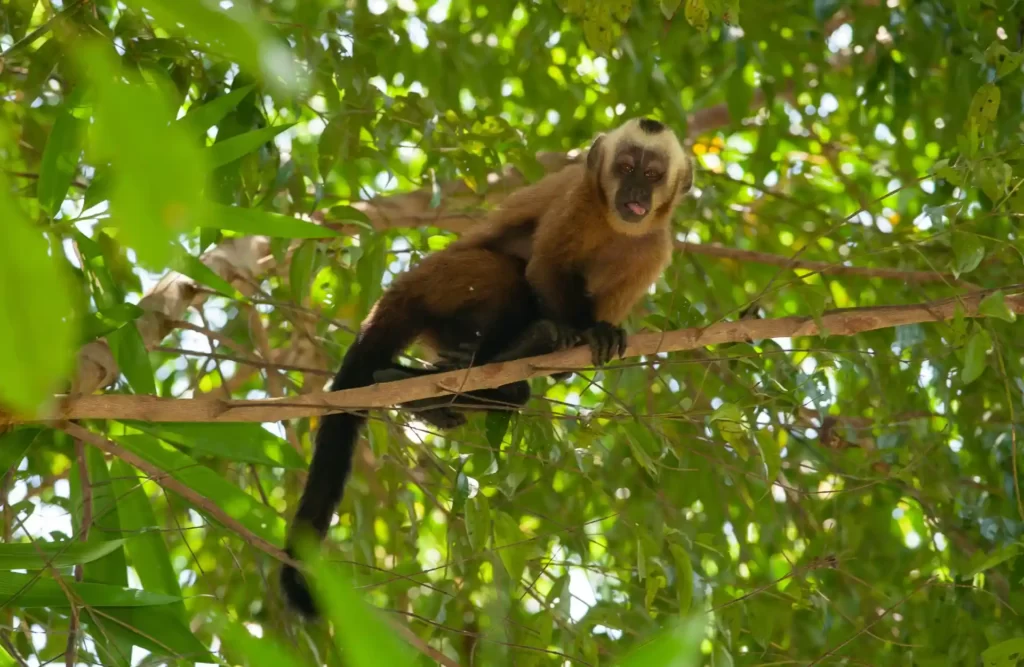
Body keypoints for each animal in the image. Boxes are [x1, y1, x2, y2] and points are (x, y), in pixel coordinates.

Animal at [280, 117, 696, 618]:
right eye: (627, 167)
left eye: (653, 175)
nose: (635, 192)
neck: (615, 226)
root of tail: (400, 289)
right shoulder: (579, 201)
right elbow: (544, 270)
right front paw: (570, 332)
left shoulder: (654, 246)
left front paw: (596, 334)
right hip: (441, 281)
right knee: (510, 276)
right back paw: (510, 350)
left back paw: (448, 388)